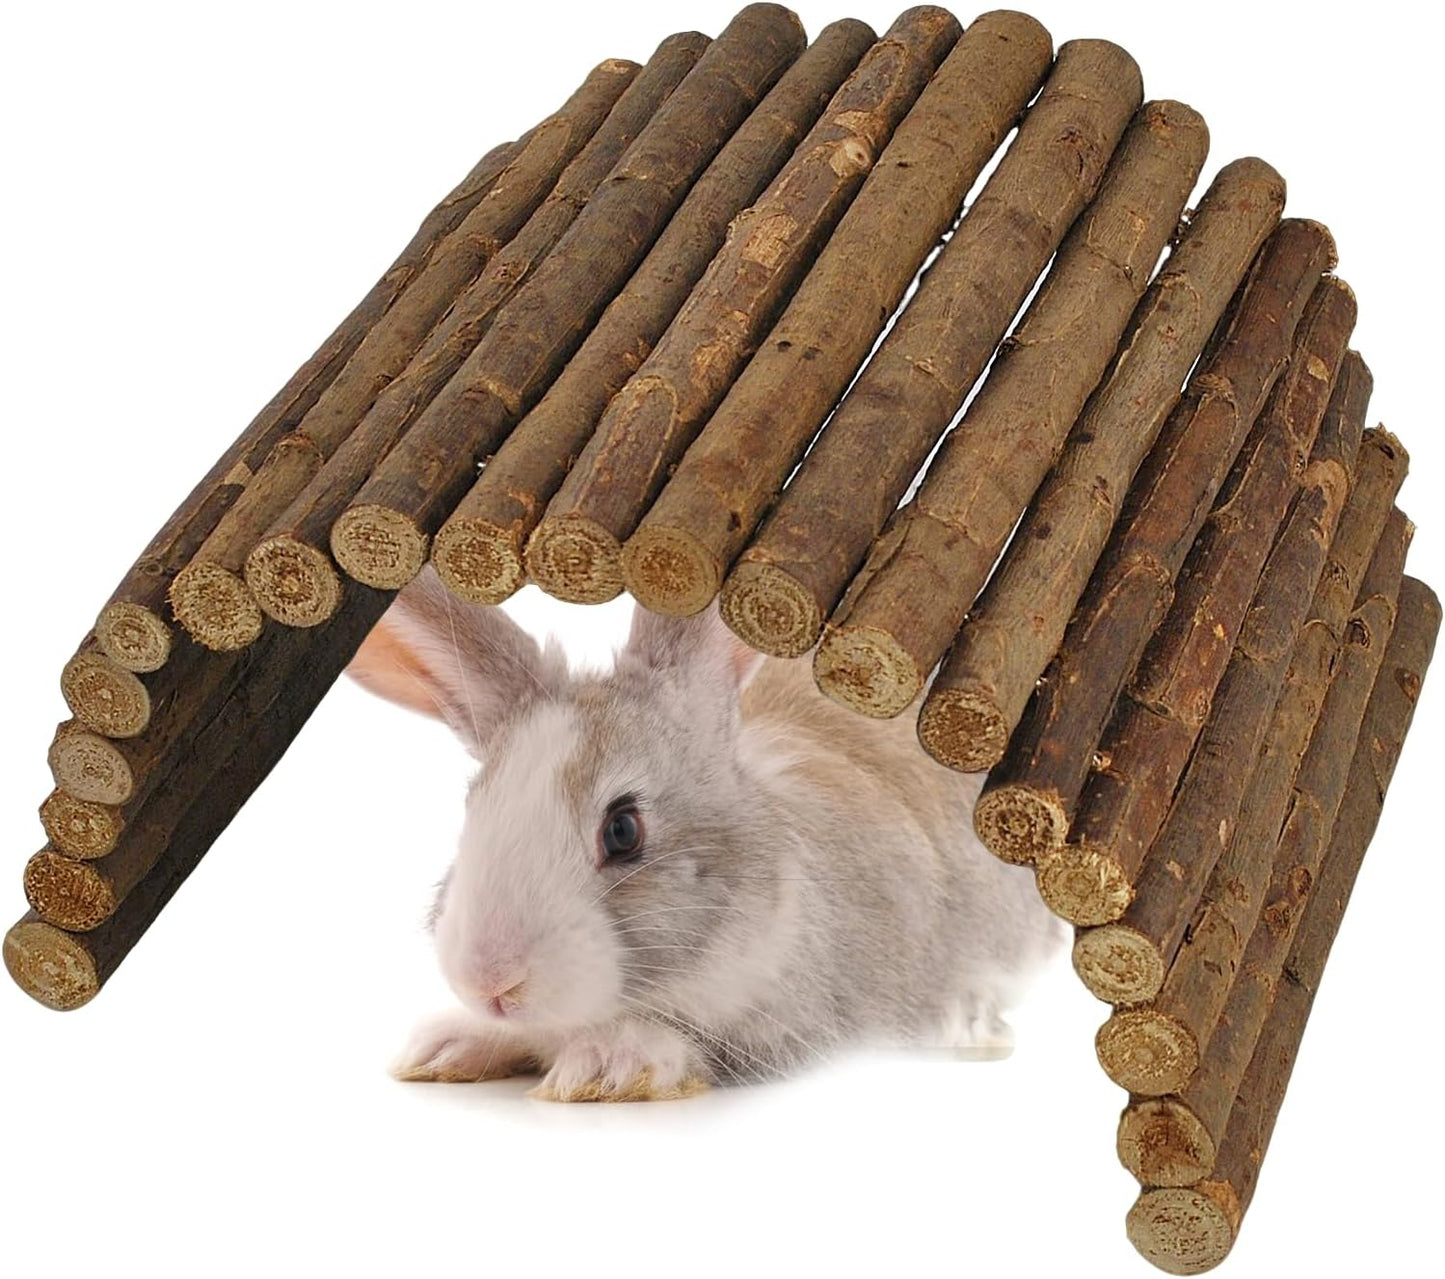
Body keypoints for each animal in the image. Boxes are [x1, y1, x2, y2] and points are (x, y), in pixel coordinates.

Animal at [347, 566, 1065, 1101]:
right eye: (473, 809)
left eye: (623, 829)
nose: (490, 982)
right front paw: (444, 1045)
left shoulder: (806, 1022)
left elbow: (706, 1051)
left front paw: (609, 1064)